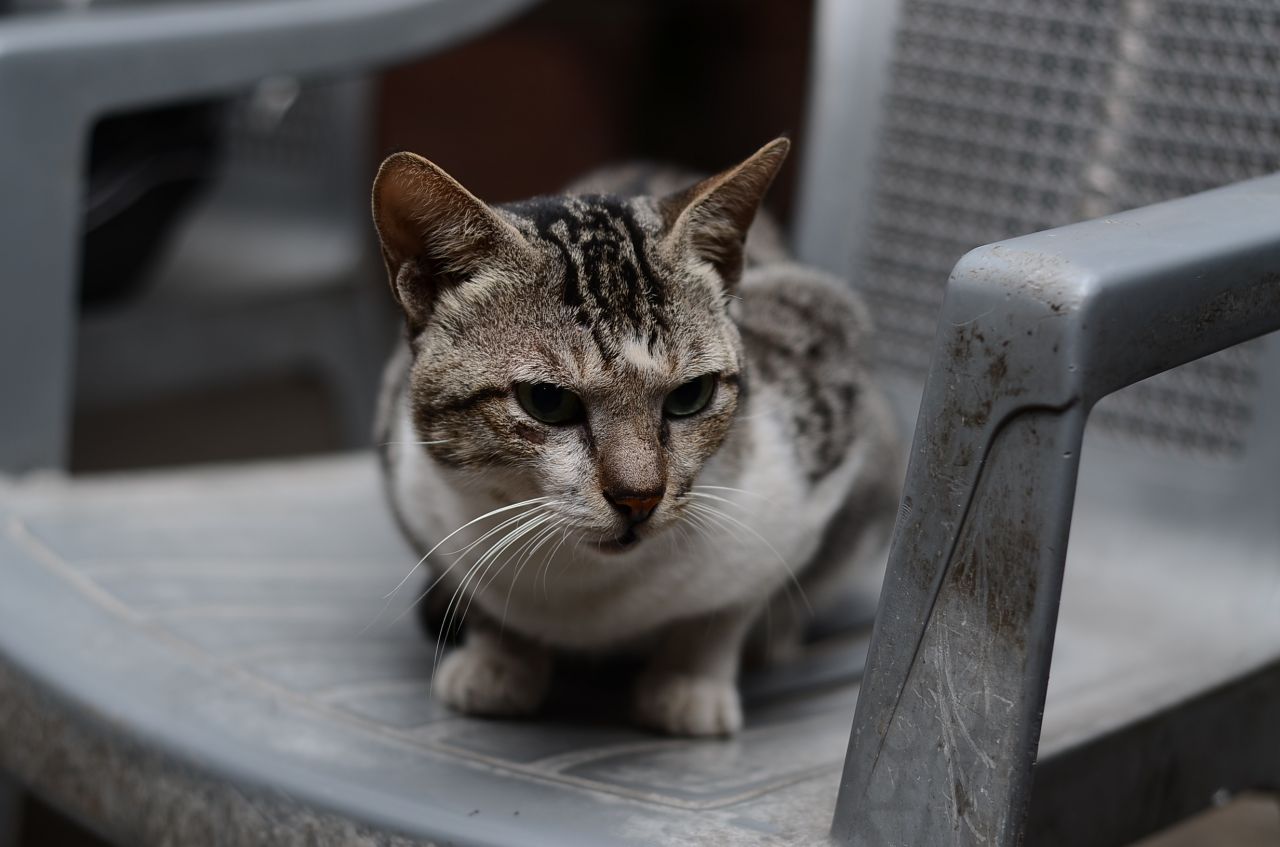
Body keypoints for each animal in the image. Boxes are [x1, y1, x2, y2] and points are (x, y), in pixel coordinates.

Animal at [371, 139, 901, 736]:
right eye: (546, 401)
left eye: (691, 394)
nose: (638, 498)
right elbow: (478, 595)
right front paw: (499, 660)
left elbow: (728, 608)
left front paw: (689, 682)